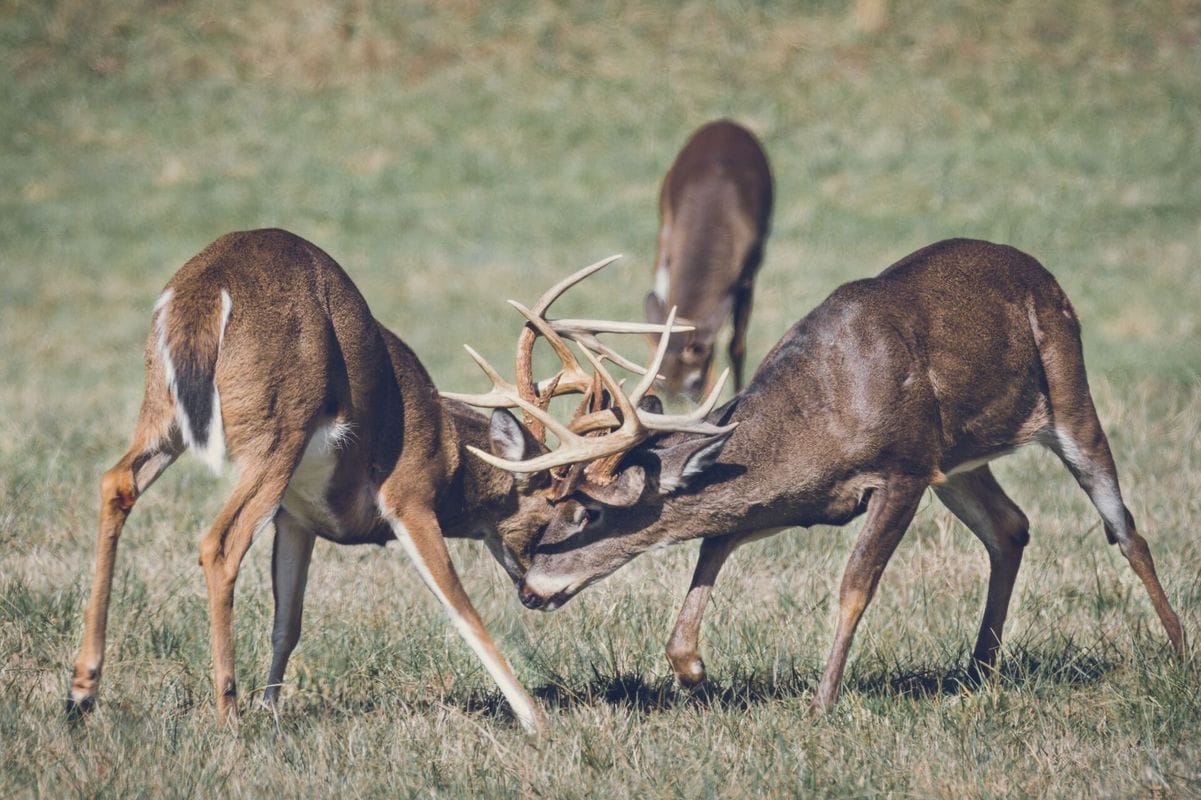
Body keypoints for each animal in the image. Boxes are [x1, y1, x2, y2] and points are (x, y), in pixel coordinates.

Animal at [65, 229, 678, 734]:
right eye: (572, 512)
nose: (537, 595)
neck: (449, 449)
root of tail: (204, 290)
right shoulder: (408, 496)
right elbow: (461, 608)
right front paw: (535, 719)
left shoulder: (296, 515)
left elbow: (288, 620)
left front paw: (272, 708)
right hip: (278, 428)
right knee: (219, 542)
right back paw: (226, 716)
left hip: (162, 410)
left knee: (116, 481)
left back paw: (82, 692)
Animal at [459, 238, 1187, 714]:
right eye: (550, 504)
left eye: (590, 511)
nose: (528, 590)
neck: (816, 419)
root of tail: (1041, 272)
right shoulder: (797, 499)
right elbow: (710, 546)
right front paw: (696, 674)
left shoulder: (901, 469)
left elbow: (853, 586)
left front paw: (822, 702)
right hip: (955, 462)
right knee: (1010, 527)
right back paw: (976, 671)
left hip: (1065, 389)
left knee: (1122, 526)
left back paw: (1178, 650)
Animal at [644, 119, 773, 400]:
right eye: (661, 384)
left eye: (695, 383)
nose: (674, 400)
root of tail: (726, 122)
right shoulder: (666, 241)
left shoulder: (747, 273)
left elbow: (736, 345)